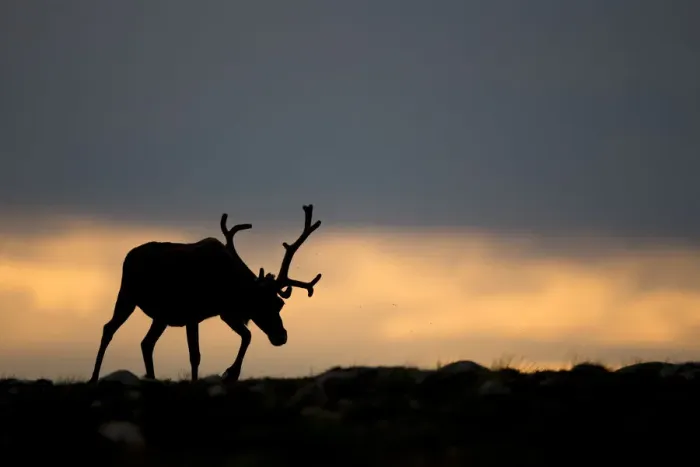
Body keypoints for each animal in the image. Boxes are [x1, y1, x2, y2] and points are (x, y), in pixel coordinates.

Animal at [89, 204, 322, 384]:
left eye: (279, 303)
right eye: (261, 303)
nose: (282, 336)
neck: (228, 285)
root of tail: (128, 256)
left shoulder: (224, 312)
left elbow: (246, 336)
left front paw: (231, 373)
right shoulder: (195, 314)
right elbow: (195, 355)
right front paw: (213, 376)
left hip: (161, 316)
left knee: (146, 343)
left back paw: (152, 379)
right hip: (127, 294)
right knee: (109, 328)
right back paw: (93, 378)